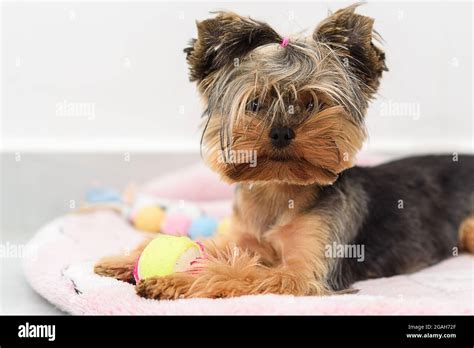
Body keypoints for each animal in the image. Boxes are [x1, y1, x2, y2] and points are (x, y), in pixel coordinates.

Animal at [95, 4, 474, 300]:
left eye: (313, 103)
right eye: (254, 104)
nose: (280, 131)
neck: (279, 190)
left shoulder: (302, 274)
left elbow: (240, 272)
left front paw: (175, 279)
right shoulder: (245, 238)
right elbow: (215, 245)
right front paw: (123, 260)